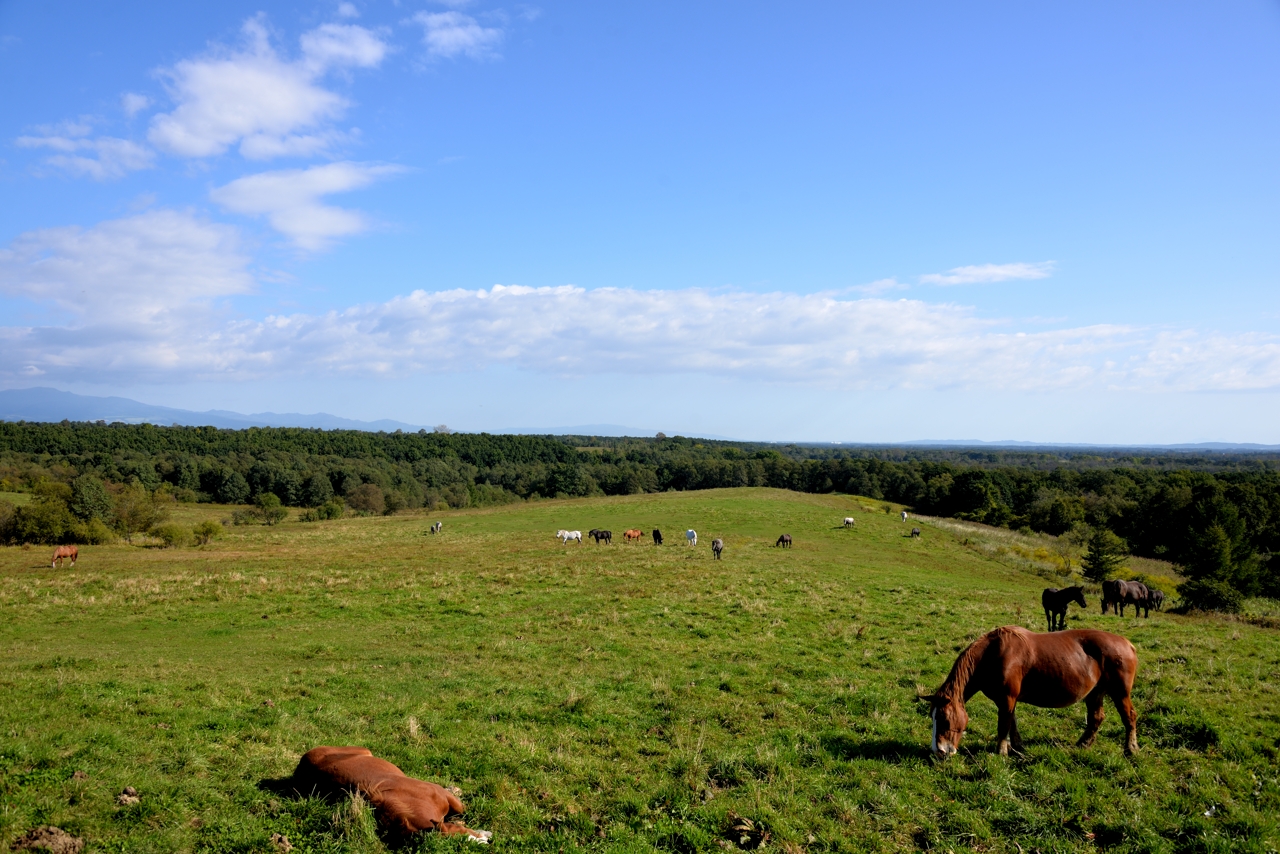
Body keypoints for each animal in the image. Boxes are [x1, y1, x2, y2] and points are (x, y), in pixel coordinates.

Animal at [921, 624, 1141, 757]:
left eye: (944, 719)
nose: (938, 751)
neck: (993, 654)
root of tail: (1127, 644)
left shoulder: (1007, 698)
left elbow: (1004, 725)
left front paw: (1001, 751)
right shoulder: (1007, 700)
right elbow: (1012, 723)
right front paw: (1017, 746)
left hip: (1120, 692)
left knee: (1129, 716)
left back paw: (1130, 748)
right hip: (1095, 692)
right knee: (1096, 718)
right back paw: (1083, 744)